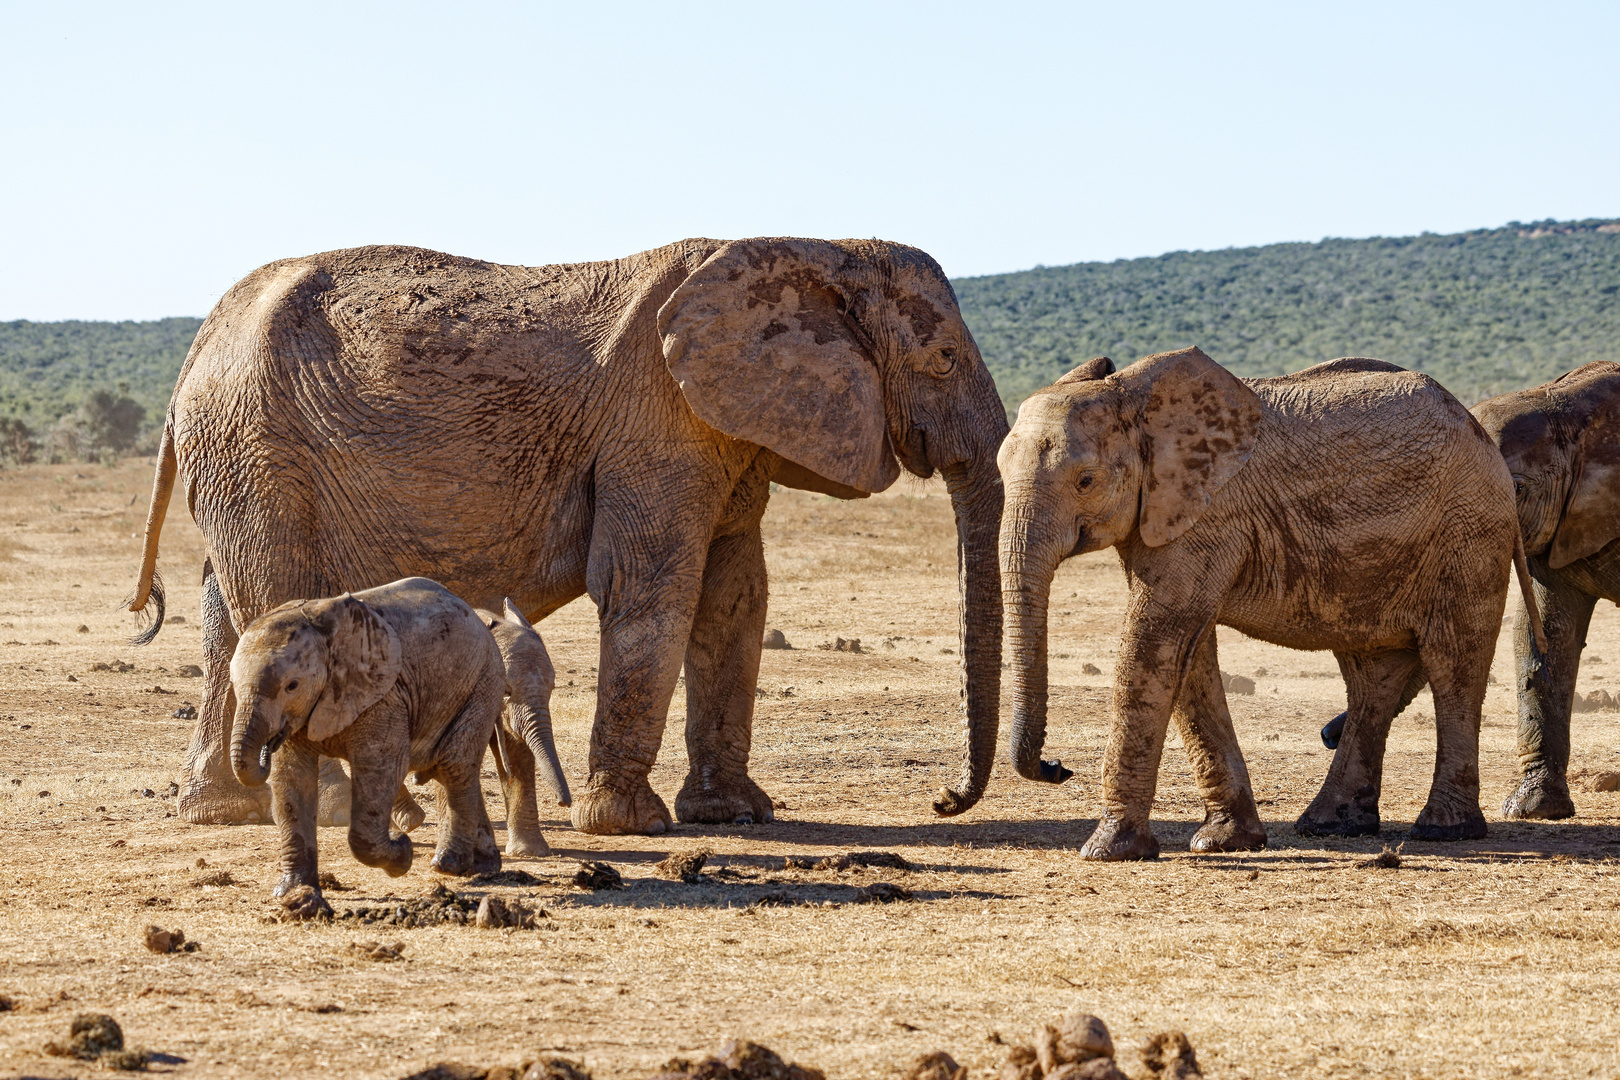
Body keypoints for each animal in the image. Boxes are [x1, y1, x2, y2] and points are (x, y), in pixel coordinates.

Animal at [129, 241, 1010, 841]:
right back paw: (366, 809)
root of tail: (196, 348)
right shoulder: (658, 423)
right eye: (939, 359)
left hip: (243, 457)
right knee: (273, 599)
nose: (943, 798)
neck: (816, 247)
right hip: (257, 450)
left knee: (228, 613)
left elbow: (735, 601)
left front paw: (734, 816)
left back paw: (222, 810)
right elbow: (654, 588)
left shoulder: (724, 432)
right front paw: (631, 825)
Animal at [997, 348, 1516, 861]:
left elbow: (1155, 640)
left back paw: (1445, 830)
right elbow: (1189, 656)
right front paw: (1226, 841)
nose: (1058, 766)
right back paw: (1331, 826)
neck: (1135, 396)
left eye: (1085, 481)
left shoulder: (1210, 514)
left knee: (1453, 662)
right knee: (1372, 673)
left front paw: (1109, 850)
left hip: (1470, 534)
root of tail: (1473, 425)